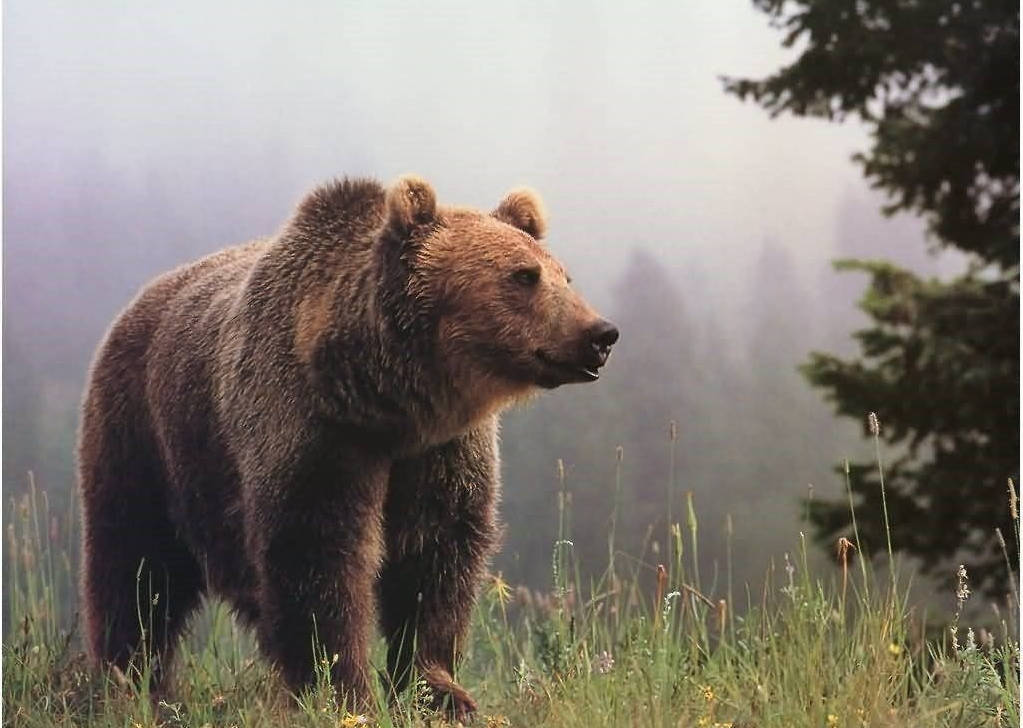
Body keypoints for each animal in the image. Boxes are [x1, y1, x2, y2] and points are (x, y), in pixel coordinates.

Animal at [76, 175, 618, 717]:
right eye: (523, 276)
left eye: (564, 276)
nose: (600, 334)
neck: (384, 404)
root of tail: (140, 299)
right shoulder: (314, 432)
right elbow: (318, 556)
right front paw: (340, 689)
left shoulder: (440, 452)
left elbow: (437, 556)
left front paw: (439, 690)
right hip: (144, 436)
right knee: (136, 568)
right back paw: (128, 682)